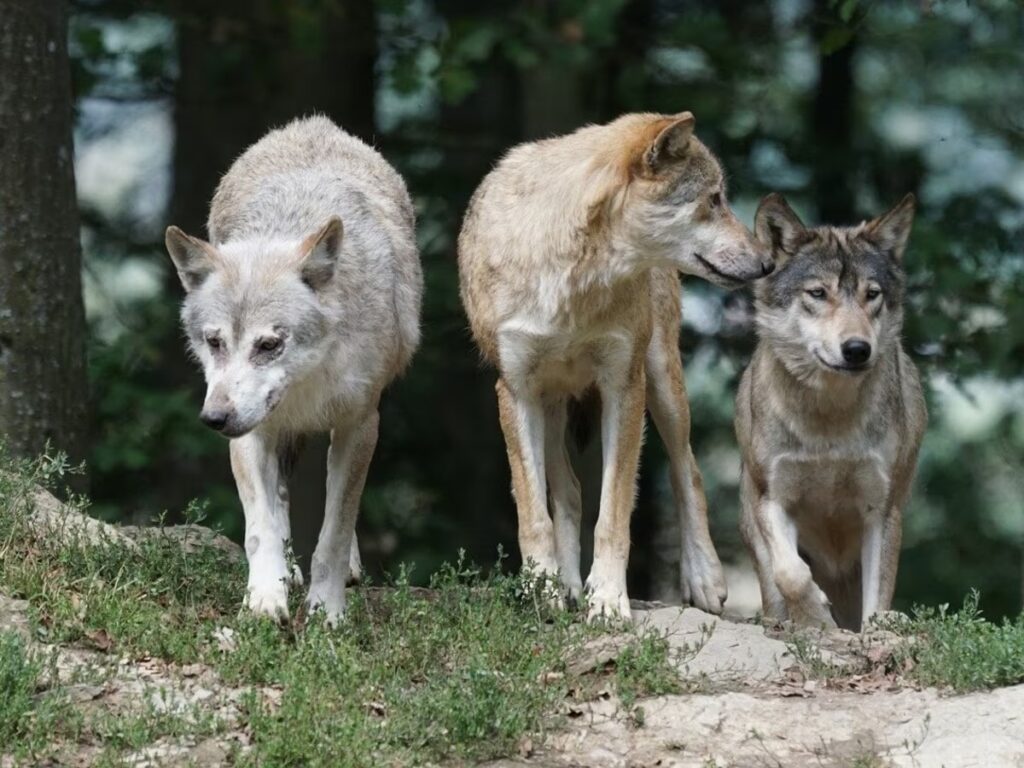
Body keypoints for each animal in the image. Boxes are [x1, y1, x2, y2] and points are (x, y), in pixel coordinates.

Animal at [165, 115, 421, 626]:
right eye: (215, 342)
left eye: (269, 345)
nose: (214, 419)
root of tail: (312, 124)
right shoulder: (250, 432)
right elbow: (260, 528)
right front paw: (265, 598)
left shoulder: (360, 424)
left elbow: (335, 532)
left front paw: (327, 611)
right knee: (280, 498)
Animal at [460, 112, 770, 618]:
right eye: (714, 200)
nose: (767, 263)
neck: (574, 279)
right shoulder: (516, 391)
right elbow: (534, 514)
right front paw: (543, 591)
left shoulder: (624, 387)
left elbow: (614, 513)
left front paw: (606, 599)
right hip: (550, 404)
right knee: (568, 492)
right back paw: (566, 586)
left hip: (662, 383)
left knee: (688, 470)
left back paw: (703, 579)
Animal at [737, 192, 929, 630]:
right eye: (818, 293)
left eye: (871, 294)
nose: (857, 349)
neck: (829, 419)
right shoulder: (772, 497)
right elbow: (790, 573)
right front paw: (815, 617)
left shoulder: (882, 509)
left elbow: (877, 601)